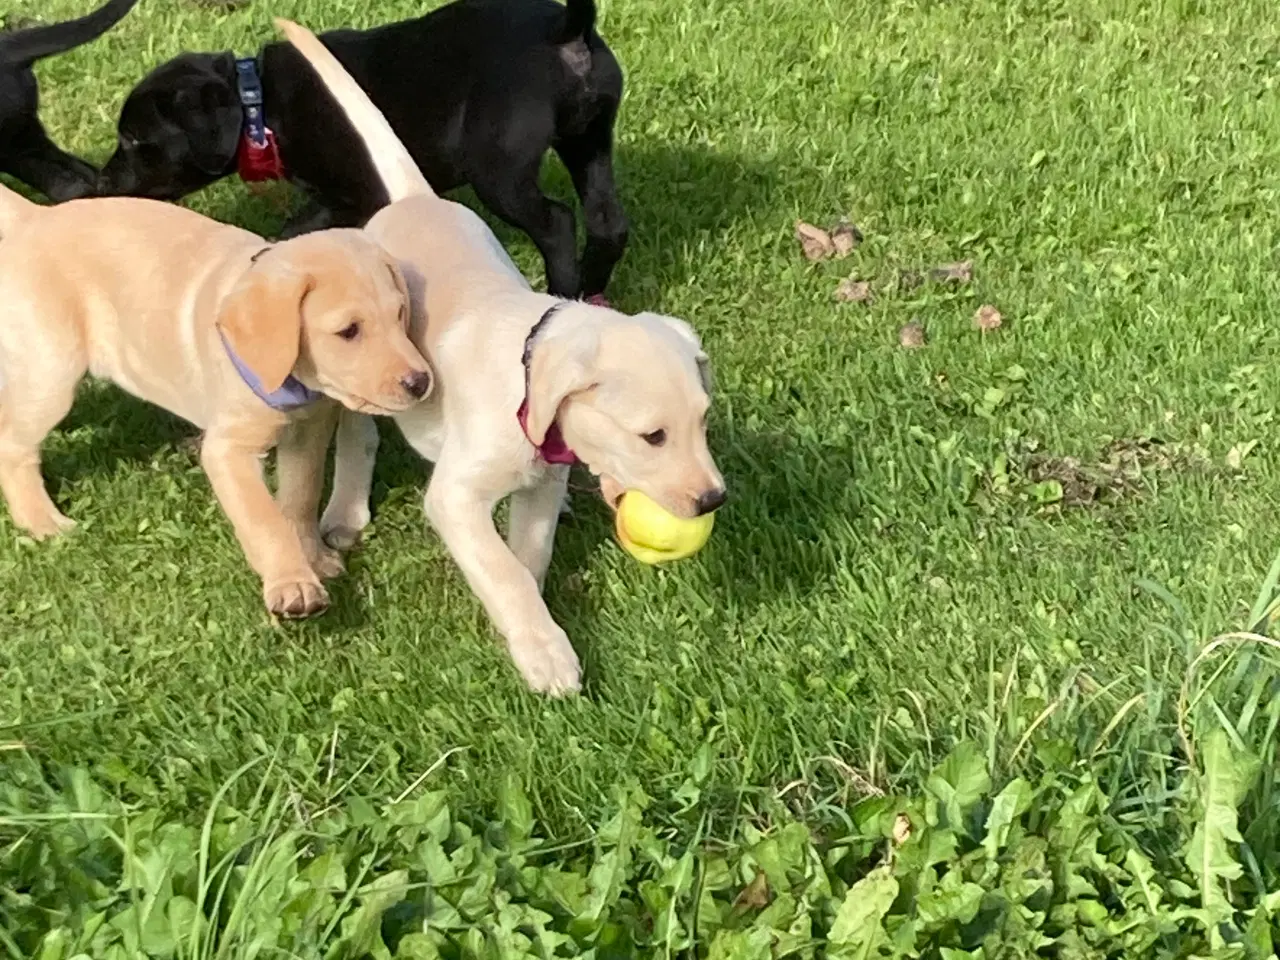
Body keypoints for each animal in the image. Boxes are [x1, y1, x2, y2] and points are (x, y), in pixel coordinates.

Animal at [0, 185, 432, 619]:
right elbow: (264, 519)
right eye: (348, 331)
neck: (290, 380)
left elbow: (301, 496)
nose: (421, 382)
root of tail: (35, 217)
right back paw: (42, 521)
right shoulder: (230, 450)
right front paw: (292, 583)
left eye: (400, 315)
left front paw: (313, 557)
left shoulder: (307, 432)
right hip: (52, 371)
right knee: (13, 447)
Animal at [97, 0, 627, 302]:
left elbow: (293, 232)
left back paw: (562, 292)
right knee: (607, 222)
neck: (259, 103)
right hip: (589, 140)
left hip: (500, 170)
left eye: (135, 140)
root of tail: (565, 30)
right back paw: (591, 292)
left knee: (557, 223)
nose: (101, 183)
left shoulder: (352, 196)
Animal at [275, 20, 727, 701]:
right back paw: (346, 511)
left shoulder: (538, 489)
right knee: (360, 437)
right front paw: (545, 653)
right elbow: (502, 568)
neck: (526, 385)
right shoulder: (456, 496)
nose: (712, 501)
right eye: (652, 436)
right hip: (369, 373)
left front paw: (533, 621)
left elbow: (527, 556)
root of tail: (413, 198)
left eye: (702, 422)